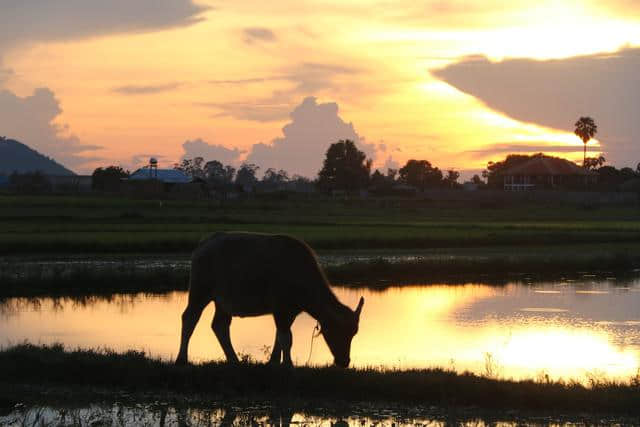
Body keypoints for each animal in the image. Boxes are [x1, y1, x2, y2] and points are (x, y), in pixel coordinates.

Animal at [176, 232, 364, 370]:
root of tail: (204, 244)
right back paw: (181, 359)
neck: (300, 274)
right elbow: (286, 338)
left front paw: (274, 361)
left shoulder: (289, 312)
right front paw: (288, 363)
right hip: (200, 291)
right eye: (337, 330)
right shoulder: (281, 309)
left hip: (222, 302)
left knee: (219, 325)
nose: (344, 362)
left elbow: (280, 337)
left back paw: (234, 359)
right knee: (189, 318)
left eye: (353, 333)